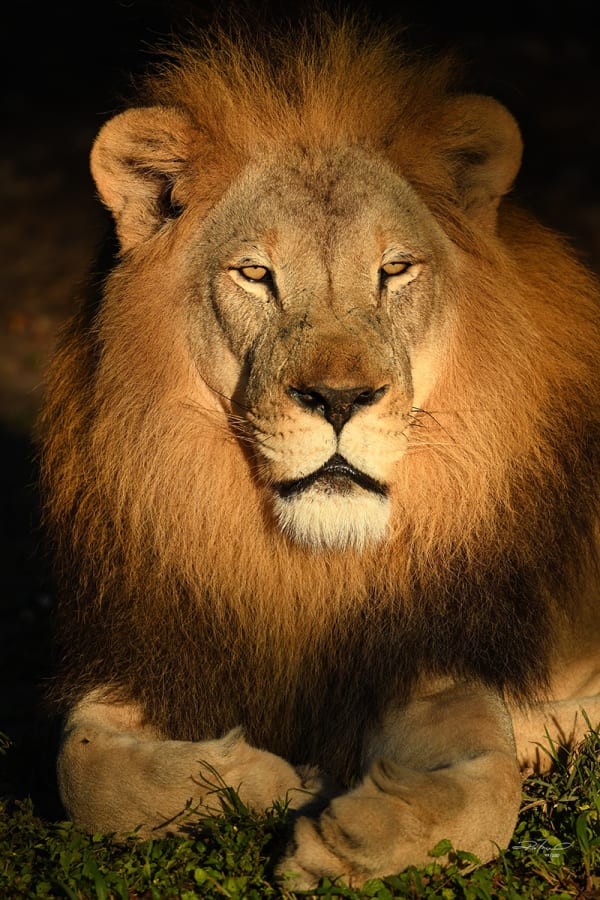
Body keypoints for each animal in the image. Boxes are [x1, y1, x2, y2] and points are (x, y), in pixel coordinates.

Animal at [39, 18, 600, 890]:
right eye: (255, 274)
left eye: (394, 270)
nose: (339, 400)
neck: (304, 572)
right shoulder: (142, 645)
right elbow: (87, 771)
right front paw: (267, 779)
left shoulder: (427, 651)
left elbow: (485, 786)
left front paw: (349, 840)